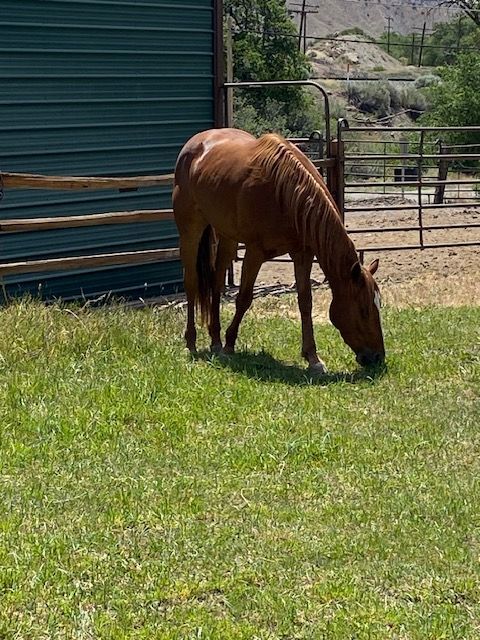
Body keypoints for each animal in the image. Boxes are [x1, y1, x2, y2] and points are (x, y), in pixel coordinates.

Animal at [173, 128, 385, 372]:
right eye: (364, 309)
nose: (378, 357)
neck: (287, 194)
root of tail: (196, 142)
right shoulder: (254, 253)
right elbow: (244, 298)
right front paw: (229, 344)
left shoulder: (302, 254)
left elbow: (305, 302)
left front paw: (313, 358)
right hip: (191, 229)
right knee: (191, 282)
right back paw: (191, 343)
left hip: (227, 236)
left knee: (216, 283)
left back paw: (215, 341)